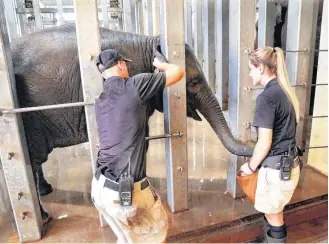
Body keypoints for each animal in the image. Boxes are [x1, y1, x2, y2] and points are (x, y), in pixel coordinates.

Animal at [8, 23, 254, 217]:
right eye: (194, 82)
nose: (253, 139)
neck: (147, 41)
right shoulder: (138, 83)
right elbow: (141, 138)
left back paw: (46, 191)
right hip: (31, 114)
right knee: (34, 157)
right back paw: (44, 215)